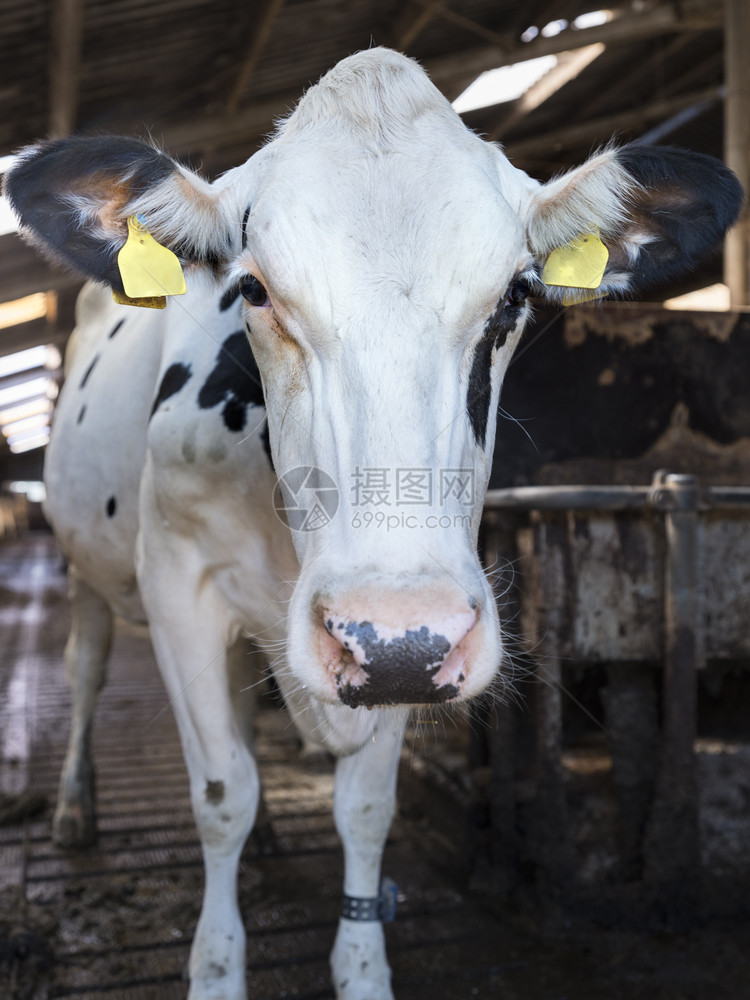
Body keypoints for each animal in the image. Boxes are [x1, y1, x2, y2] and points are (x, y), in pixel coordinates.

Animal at [4, 47, 748, 1000]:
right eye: (252, 287)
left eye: (515, 295)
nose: (388, 637)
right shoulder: (178, 585)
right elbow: (221, 794)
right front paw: (216, 966)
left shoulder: (425, 632)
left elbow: (363, 806)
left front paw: (361, 967)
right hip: (86, 565)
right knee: (89, 665)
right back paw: (70, 808)